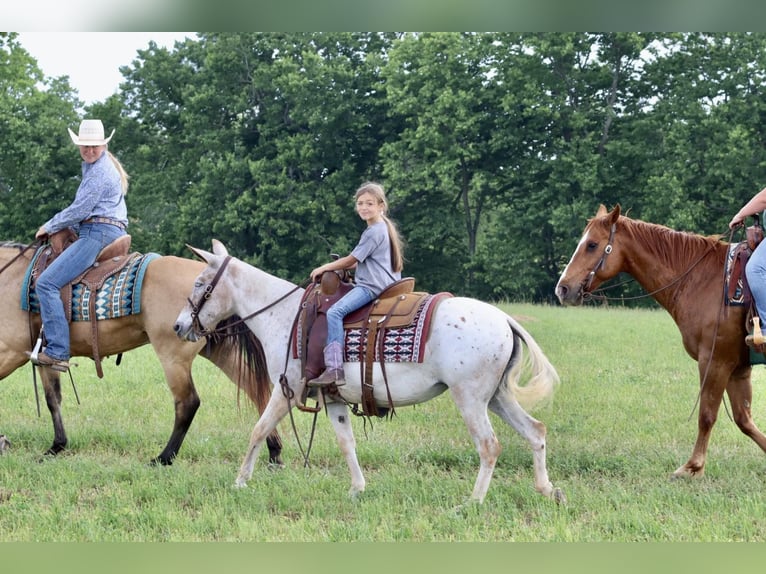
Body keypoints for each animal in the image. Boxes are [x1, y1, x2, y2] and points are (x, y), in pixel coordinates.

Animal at [0, 240, 284, 468]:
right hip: (218, 350)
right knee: (255, 390)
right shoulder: (43, 357)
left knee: (188, 402)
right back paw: (274, 452)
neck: (9, 278)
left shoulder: (11, 351)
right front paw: (56, 446)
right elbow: (53, 399)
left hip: (173, 356)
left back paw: (164, 458)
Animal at [172, 238, 564, 504]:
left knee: (489, 445)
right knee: (535, 431)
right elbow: (347, 443)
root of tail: (504, 318)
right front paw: (357, 489)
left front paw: (240, 481)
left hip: (470, 398)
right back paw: (546, 489)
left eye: (199, 284)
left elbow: (258, 430)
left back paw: (473, 502)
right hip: (495, 396)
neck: (284, 314)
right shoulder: (332, 398)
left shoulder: (288, 389)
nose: (178, 326)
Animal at [556, 206, 766, 482]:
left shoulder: (715, 361)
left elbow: (707, 415)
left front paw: (692, 466)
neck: (702, 280)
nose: (562, 289)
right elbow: (745, 420)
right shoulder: (738, 367)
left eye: (592, 245)